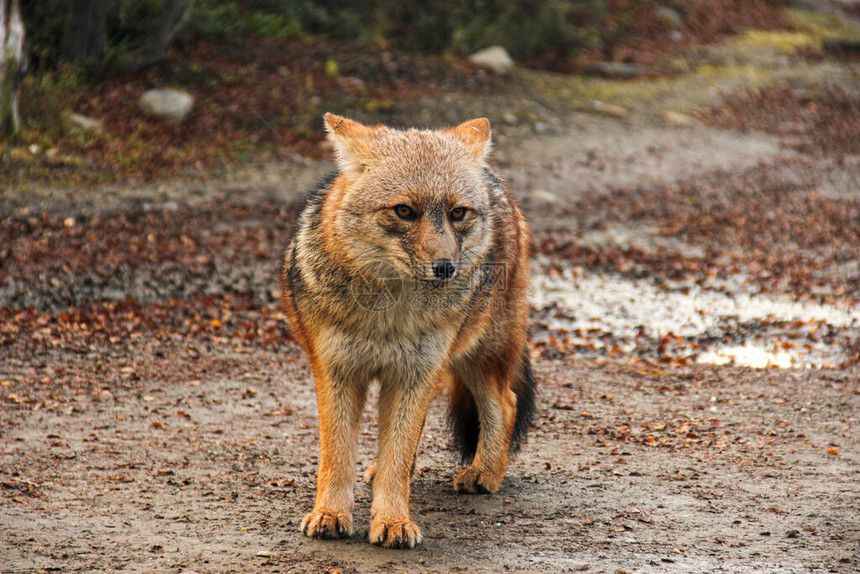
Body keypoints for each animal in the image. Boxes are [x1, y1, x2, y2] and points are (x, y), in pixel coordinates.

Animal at [282, 111, 536, 548]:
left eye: (457, 213)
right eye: (404, 211)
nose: (445, 267)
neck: (387, 316)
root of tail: (494, 179)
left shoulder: (414, 374)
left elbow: (398, 456)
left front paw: (393, 521)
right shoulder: (336, 372)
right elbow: (338, 456)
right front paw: (330, 514)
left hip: (476, 354)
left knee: (506, 403)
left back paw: (484, 473)